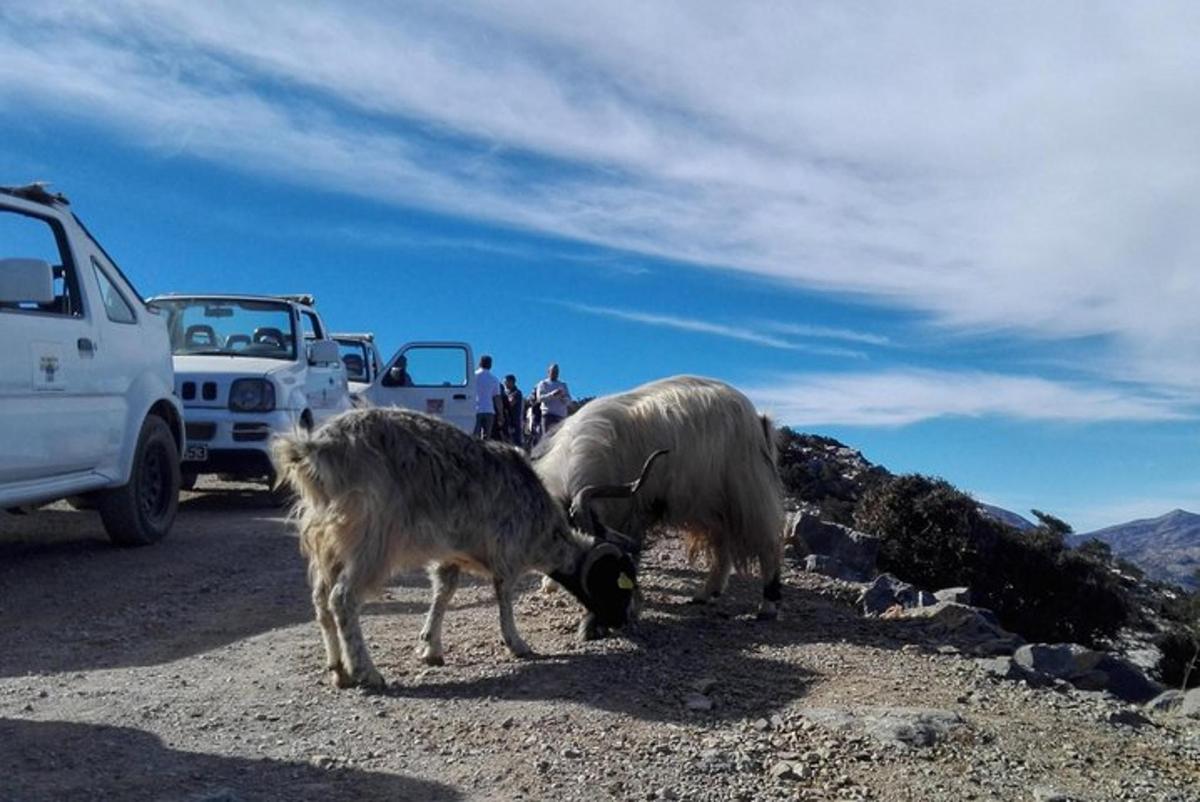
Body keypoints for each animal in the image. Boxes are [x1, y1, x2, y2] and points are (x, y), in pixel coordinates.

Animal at [272, 408, 662, 691]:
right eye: (618, 579)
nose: (623, 620)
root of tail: (317, 449)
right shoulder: (507, 552)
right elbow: (504, 597)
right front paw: (517, 644)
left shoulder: (450, 556)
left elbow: (443, 593)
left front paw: (430, 647)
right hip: (371, 541)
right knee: (342, 598)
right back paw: (366, 672)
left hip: (328, 545)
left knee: (321, 600)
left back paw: (338, 671)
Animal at [535, 372, 787, 633]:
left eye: (607, 574)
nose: (616, 621)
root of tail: (759, 419)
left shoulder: (632, 513)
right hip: (713, 505)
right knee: (723, 548)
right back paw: (706, 594)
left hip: (748, 497)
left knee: (768, 546)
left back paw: (767, 606)